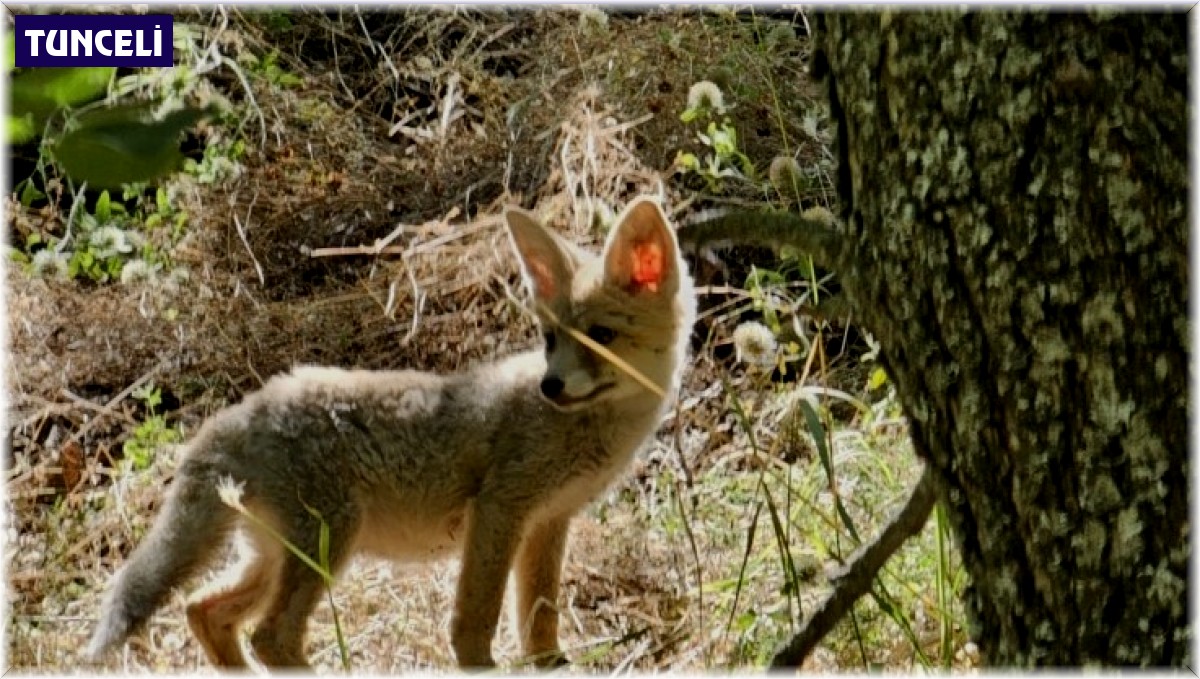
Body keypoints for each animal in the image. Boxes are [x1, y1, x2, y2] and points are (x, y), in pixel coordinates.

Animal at [87, 195, 696, 671]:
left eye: (601, 336)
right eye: (551, 339)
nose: (551, 386)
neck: (586, 433)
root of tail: (234, 414)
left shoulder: (549, 521)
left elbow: (539, 621)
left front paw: (551, 666)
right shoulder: (501, 509)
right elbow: (475, 620)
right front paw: (480, 666)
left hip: (274, 557)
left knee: (205, 610)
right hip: (328, 545)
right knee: (271, 637)